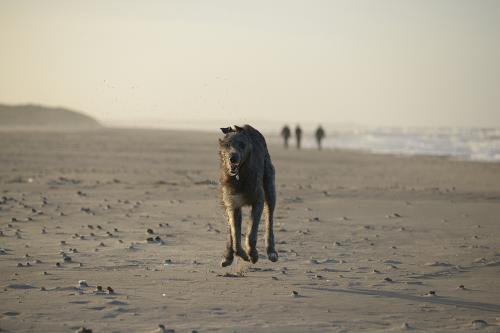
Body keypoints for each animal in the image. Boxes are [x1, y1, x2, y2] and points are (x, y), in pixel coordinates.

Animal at [218, 123, 278, 266]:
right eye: (227, 144)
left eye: (242, 144)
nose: (233, 158)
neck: (240, 176)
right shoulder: (233, 203)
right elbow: (235, 235)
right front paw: (244, 255)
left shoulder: (258, 200)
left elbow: (251, 233)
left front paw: (253, 255)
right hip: (226, 200)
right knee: (230, 230)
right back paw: (228, 255)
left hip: (269, 184)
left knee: (270, 216)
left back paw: (271, 251)